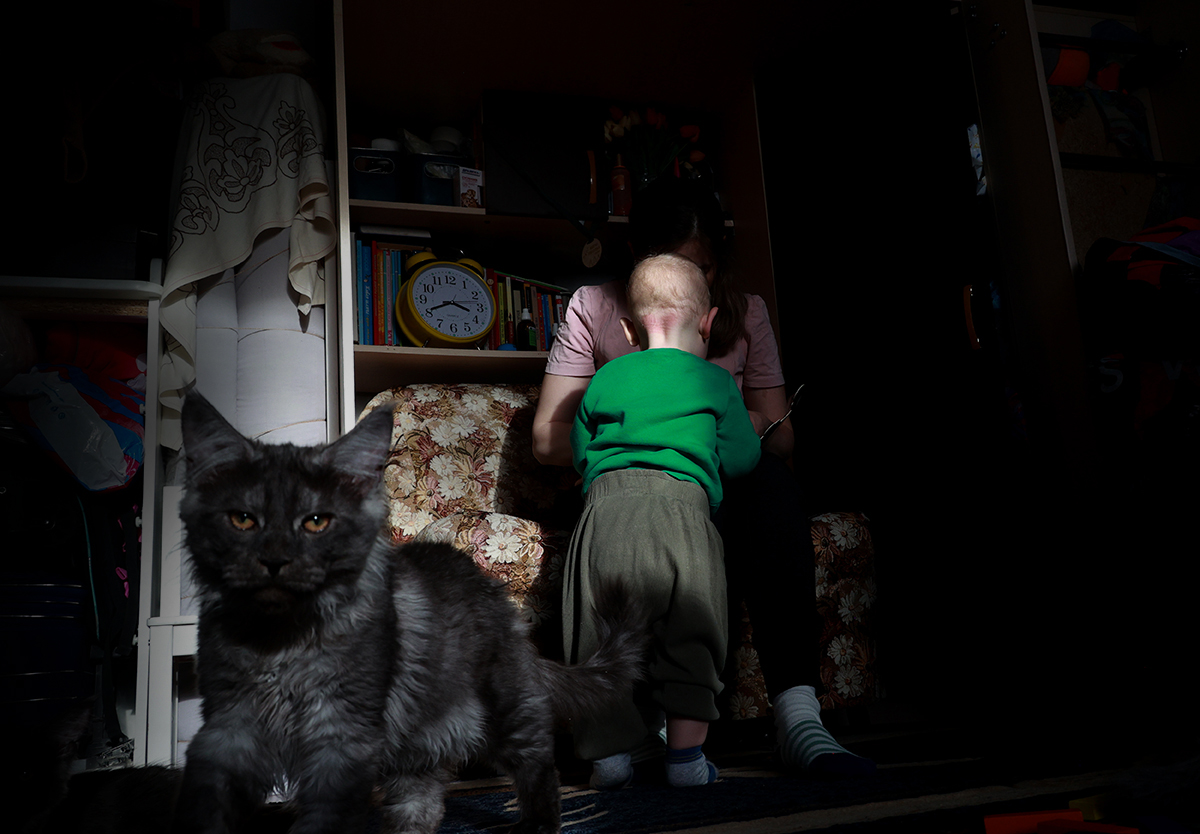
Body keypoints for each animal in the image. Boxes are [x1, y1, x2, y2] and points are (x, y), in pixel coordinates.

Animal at [172, 393, 645, 834]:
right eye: (242, 520)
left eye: (316, 522)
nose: (275, 561)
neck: (280, 641)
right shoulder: (228, 728)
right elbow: (210, 807)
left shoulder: (341, 738)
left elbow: (324, 820)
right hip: (418, 738)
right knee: (423, 801)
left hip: (504, 709)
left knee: (538, 766)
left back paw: (538, 824)